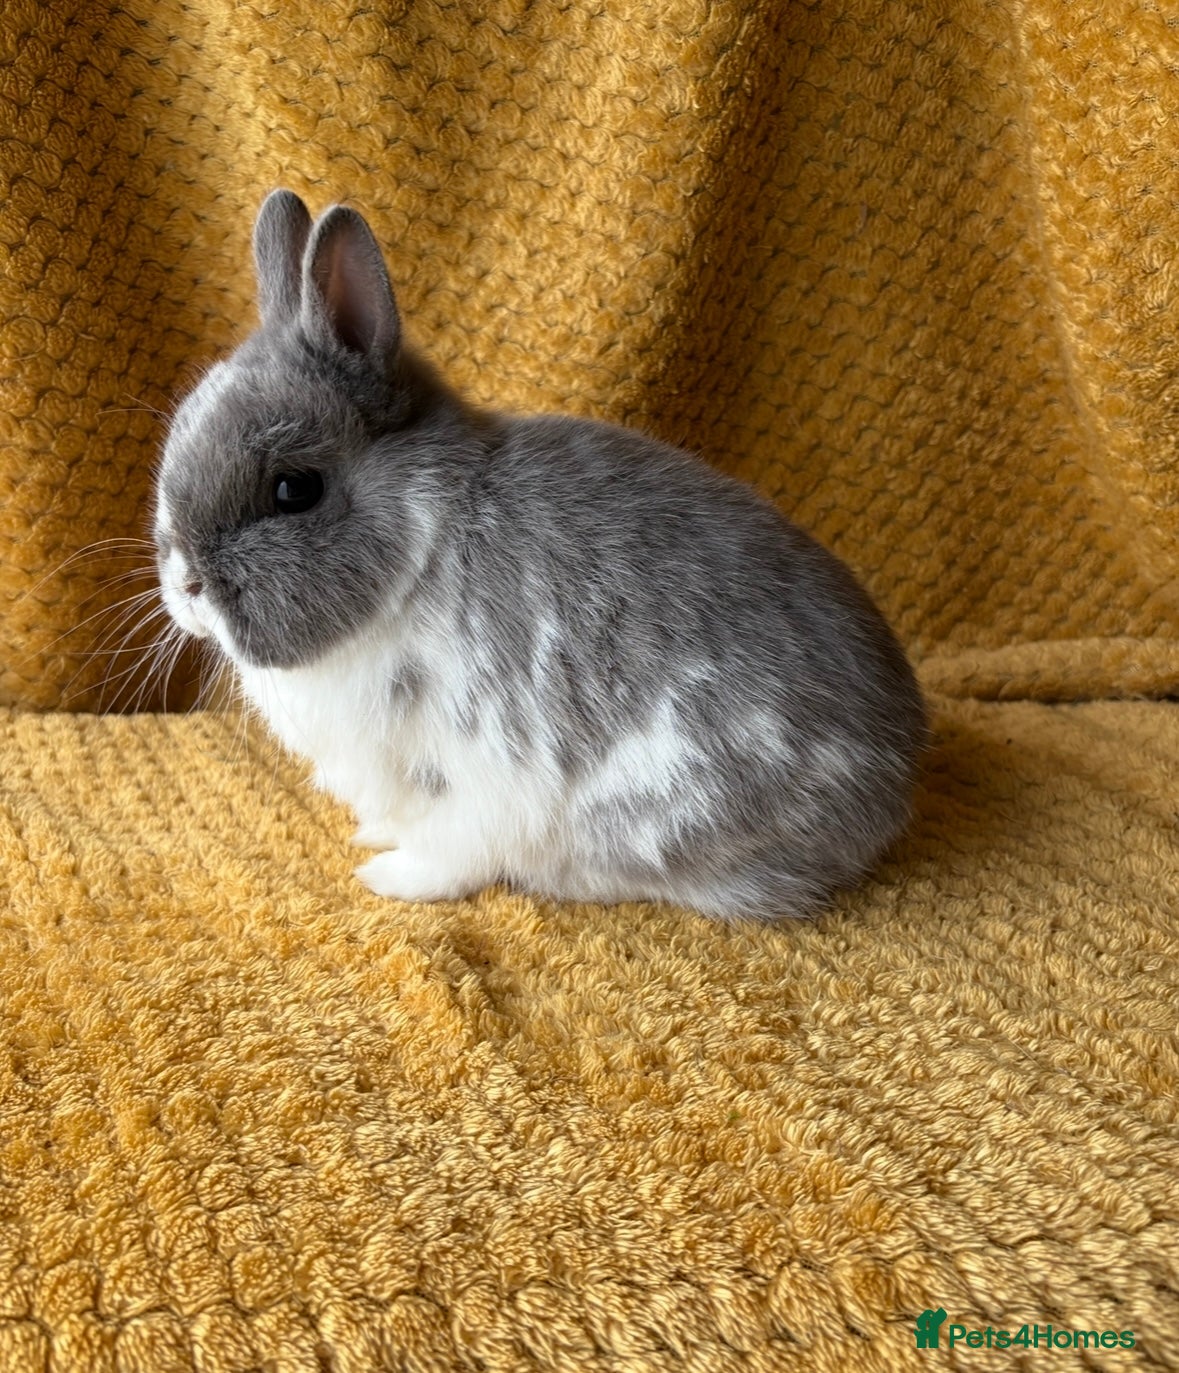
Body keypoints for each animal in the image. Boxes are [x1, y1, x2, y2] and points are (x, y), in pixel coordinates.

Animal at [154, 189, 926, 921]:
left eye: (294, 489)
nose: (187, 582)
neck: (420, 551)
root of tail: (895, 778)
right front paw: (371, 836)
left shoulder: (478, 775)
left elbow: (450, 853)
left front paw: (387, 877)